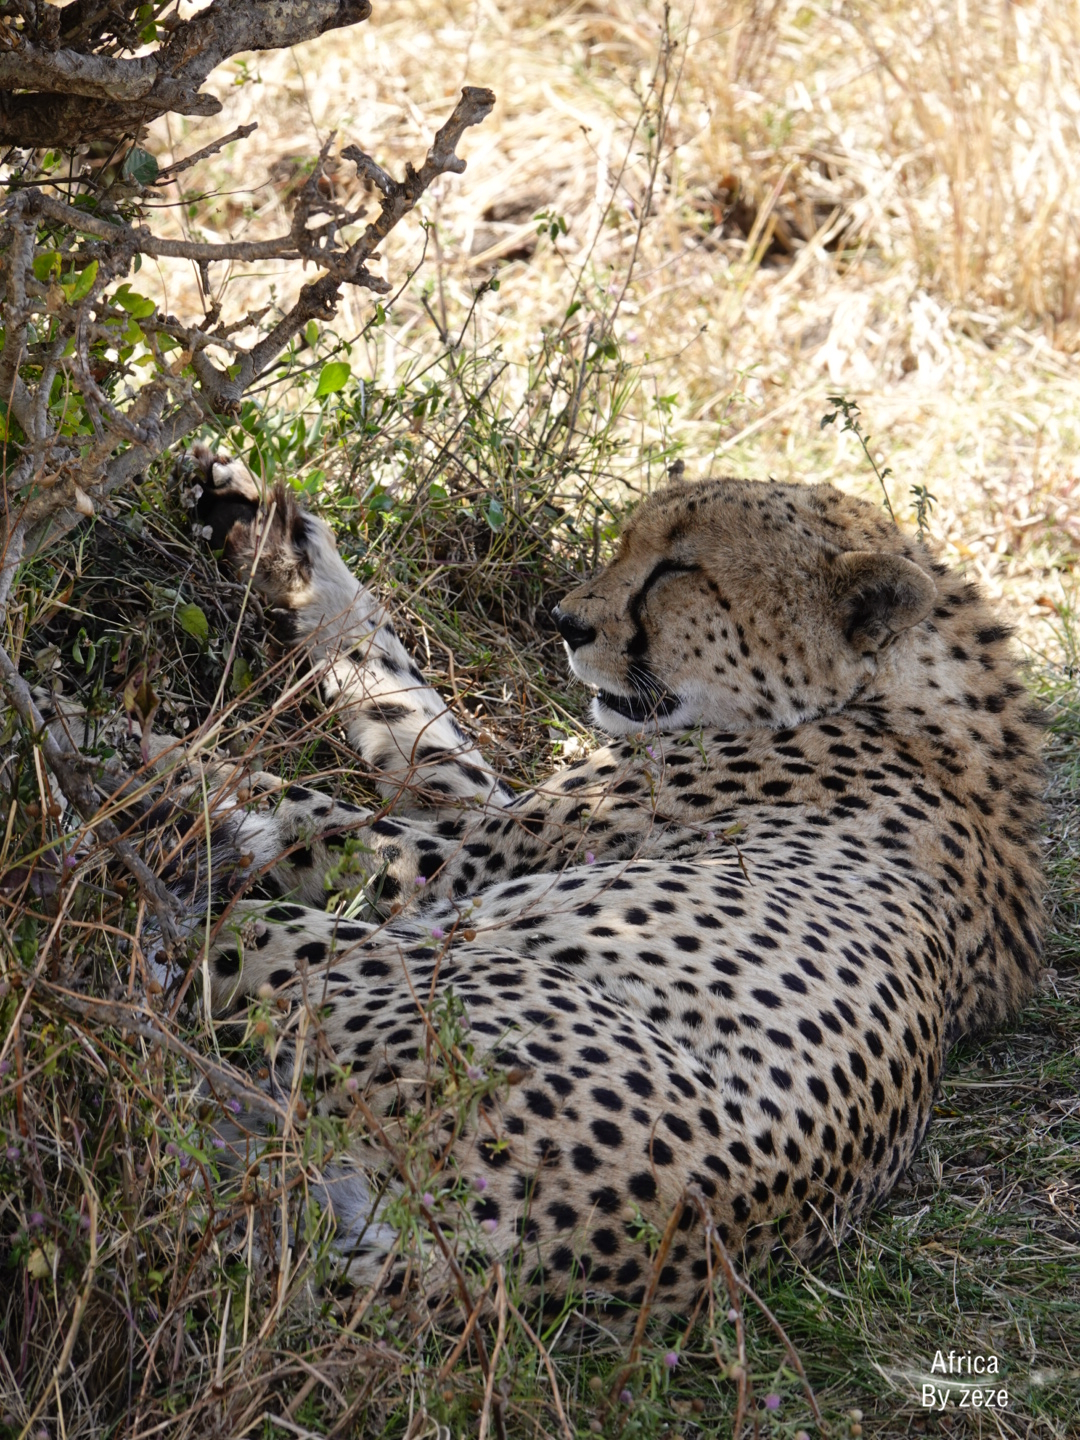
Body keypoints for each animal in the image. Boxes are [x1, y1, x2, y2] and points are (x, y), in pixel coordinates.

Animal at [180, 449, 1048, 1319]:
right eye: (630, 542)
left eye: (678, 570)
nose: (564, 622)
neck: (898, 696)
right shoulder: (478, 808)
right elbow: (402, 699)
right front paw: (279, 542)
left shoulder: (454, 859)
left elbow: (299, 804)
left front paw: (157, 762)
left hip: (406, 961)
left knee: (203, 947)